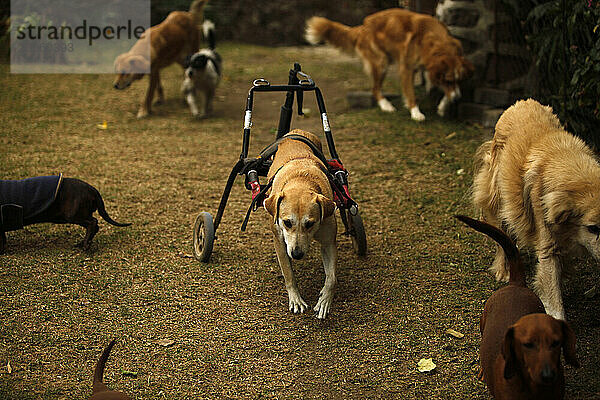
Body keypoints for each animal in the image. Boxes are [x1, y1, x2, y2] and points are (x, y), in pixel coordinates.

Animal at [262, 129, 338, 318]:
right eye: (287, 222)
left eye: (310, 223)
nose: (296, 254)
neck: (301, 180)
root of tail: (297, 131)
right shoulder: (280, 242)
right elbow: (288, 274)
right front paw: (295, 299)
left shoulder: (328, 242)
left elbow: (331, 278)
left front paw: (324, 301)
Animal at [308, 7, 472, 120]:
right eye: (449, 80)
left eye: (459, 80)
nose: (458, 99)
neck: (436, 40)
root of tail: (362, 27)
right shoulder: (407, 68)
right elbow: (411, 93)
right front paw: (415, 112)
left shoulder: (430, 68)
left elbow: (442, 88)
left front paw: (443, 106)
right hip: (381, 63)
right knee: (375, 89)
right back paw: (386, 105)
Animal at [474, 98, 600, 320]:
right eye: (592, 228)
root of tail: (522, 102)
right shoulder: (547, 245)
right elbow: (554, 298)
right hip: (499, 197)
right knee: (501, 234)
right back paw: (503, 269)